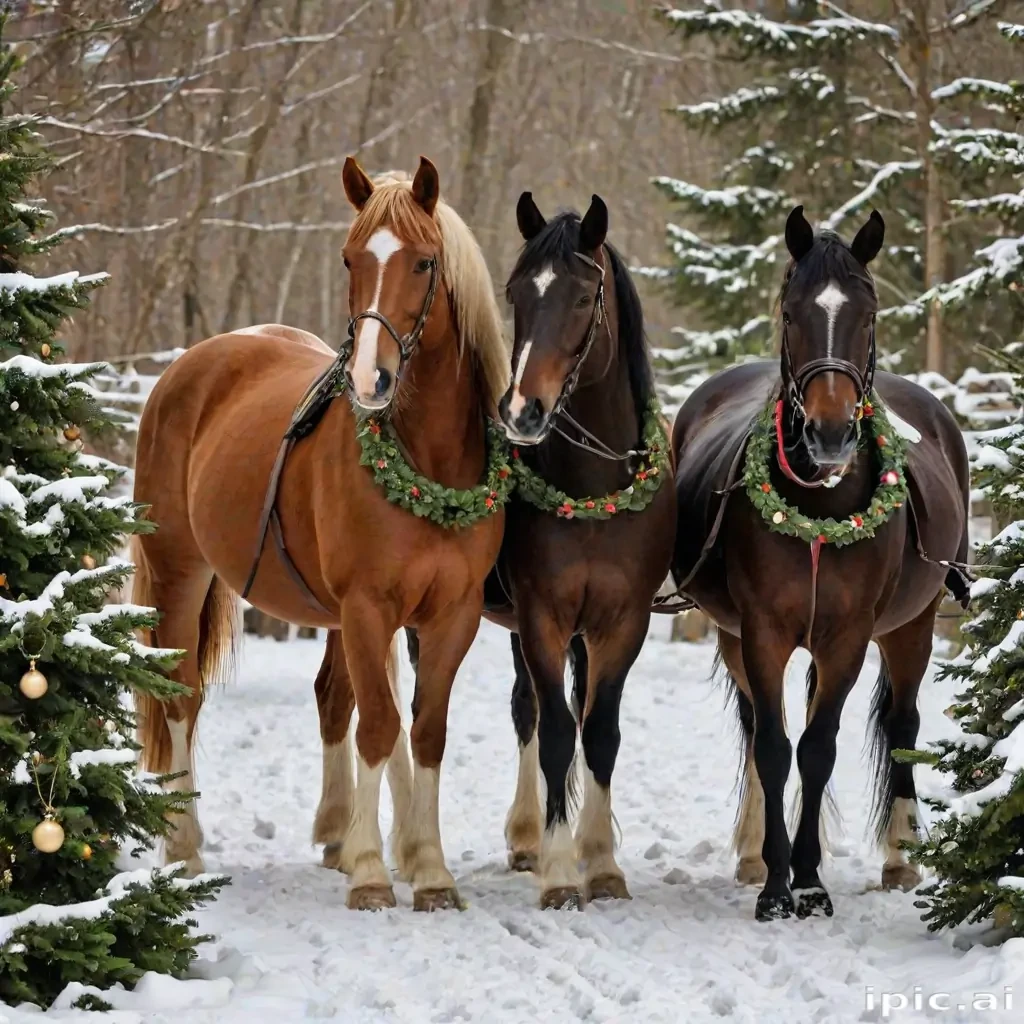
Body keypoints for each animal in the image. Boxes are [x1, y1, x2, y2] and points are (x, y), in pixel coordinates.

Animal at [131, 156, 511, 912]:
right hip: (179, 573)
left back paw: (342, 833)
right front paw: (371, 872)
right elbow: (382, 725)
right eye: (349, 258)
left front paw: (429, 870)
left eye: (425, 262)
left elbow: (423, 728)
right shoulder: (368, 605)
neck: (428, 461)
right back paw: (186, 846)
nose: (371, 377)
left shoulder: (449, 614)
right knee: (181, 692)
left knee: (339, 700)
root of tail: (193, 365)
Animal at [480, 192, 676, 909]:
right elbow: (560, 731)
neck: (593, 492)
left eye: (583, 294)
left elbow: (600, 731)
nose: (523, 413)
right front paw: (563, 871)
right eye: (517, 291)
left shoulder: (621, 623)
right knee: (528, 713)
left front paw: (602, 863)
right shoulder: (542, 616)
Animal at [671, 206, 970, 921]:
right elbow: (777, 749)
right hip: (733, 634)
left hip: (913, 624)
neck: (820, 504)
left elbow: (819, 748)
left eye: (868, 310)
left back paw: (900, 857)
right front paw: (778, 884)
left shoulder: (847, 637)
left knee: (903, 723)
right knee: (759, 728)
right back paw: (757, 855)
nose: (830, 434)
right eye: (791, 311)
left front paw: (808, 881)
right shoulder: (761, 631)